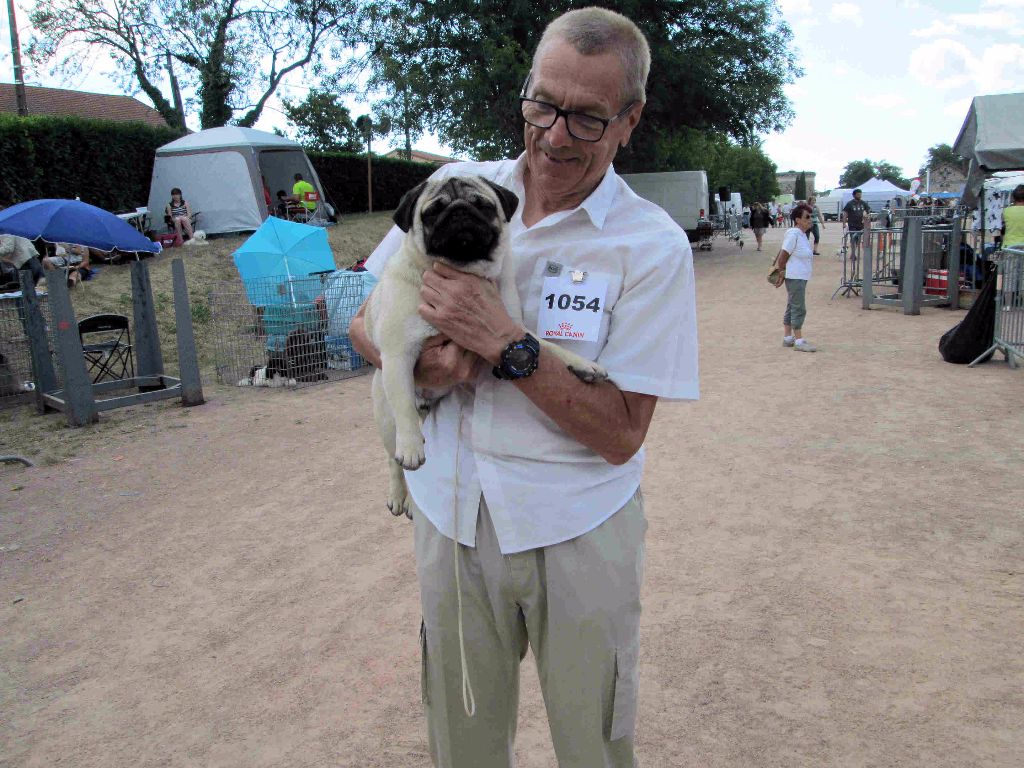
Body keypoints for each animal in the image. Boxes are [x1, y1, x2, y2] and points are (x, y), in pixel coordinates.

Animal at [366, 176, 606, 518]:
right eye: (432, 212)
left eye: (483, 205)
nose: (459, 212)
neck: (464, 272)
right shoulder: (399, 354)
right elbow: (405, 414)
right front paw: (411, 447)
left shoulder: (512, 330)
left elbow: (546, 346)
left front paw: (583, 364)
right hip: (386, 414)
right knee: (394, 454)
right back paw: (401, 496)